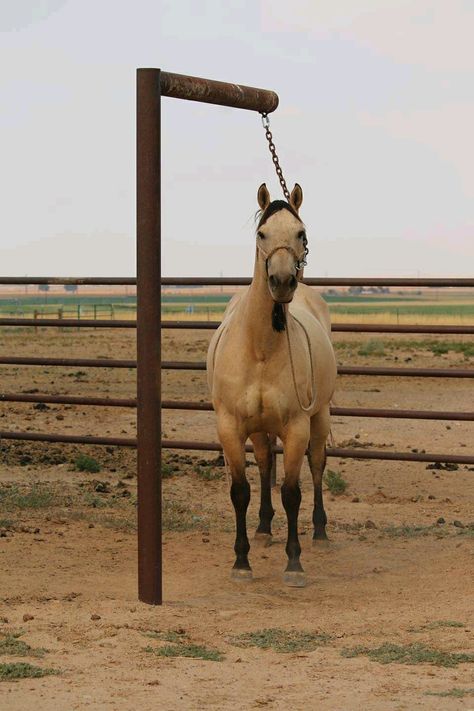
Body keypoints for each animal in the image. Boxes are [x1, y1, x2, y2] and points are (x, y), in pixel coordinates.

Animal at [207, 184, 336, 588]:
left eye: (301, 233)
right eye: (261, 234)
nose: (281, 282)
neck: (261, 346)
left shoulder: (296, 426)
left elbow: (293, 492)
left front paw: (294, 564)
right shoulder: (229, 427)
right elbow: (240, 490)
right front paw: (241, 562)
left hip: (319, 416)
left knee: (317, 465)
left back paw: (320, 532)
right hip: (260, 429)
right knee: (264, 466)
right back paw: (263, 529)